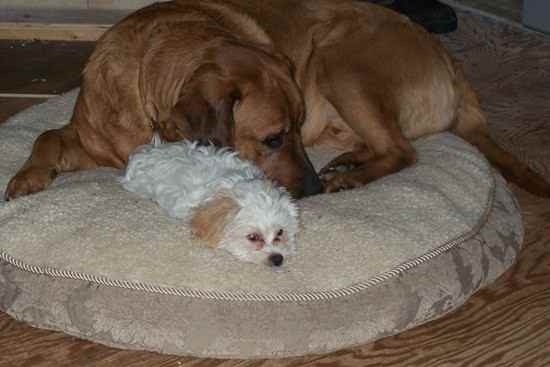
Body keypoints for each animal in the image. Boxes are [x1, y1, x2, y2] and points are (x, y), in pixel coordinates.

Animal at [4, 0, 550, 201]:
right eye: (272, 138)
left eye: (293, 130)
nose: (310, 190)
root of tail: (448, 58)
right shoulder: (88, 138)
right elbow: (46, 134)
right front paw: (27, 177)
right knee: (388, 143)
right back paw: (347, 161)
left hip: (341, 61)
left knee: (403, 150)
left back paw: (349, 176)